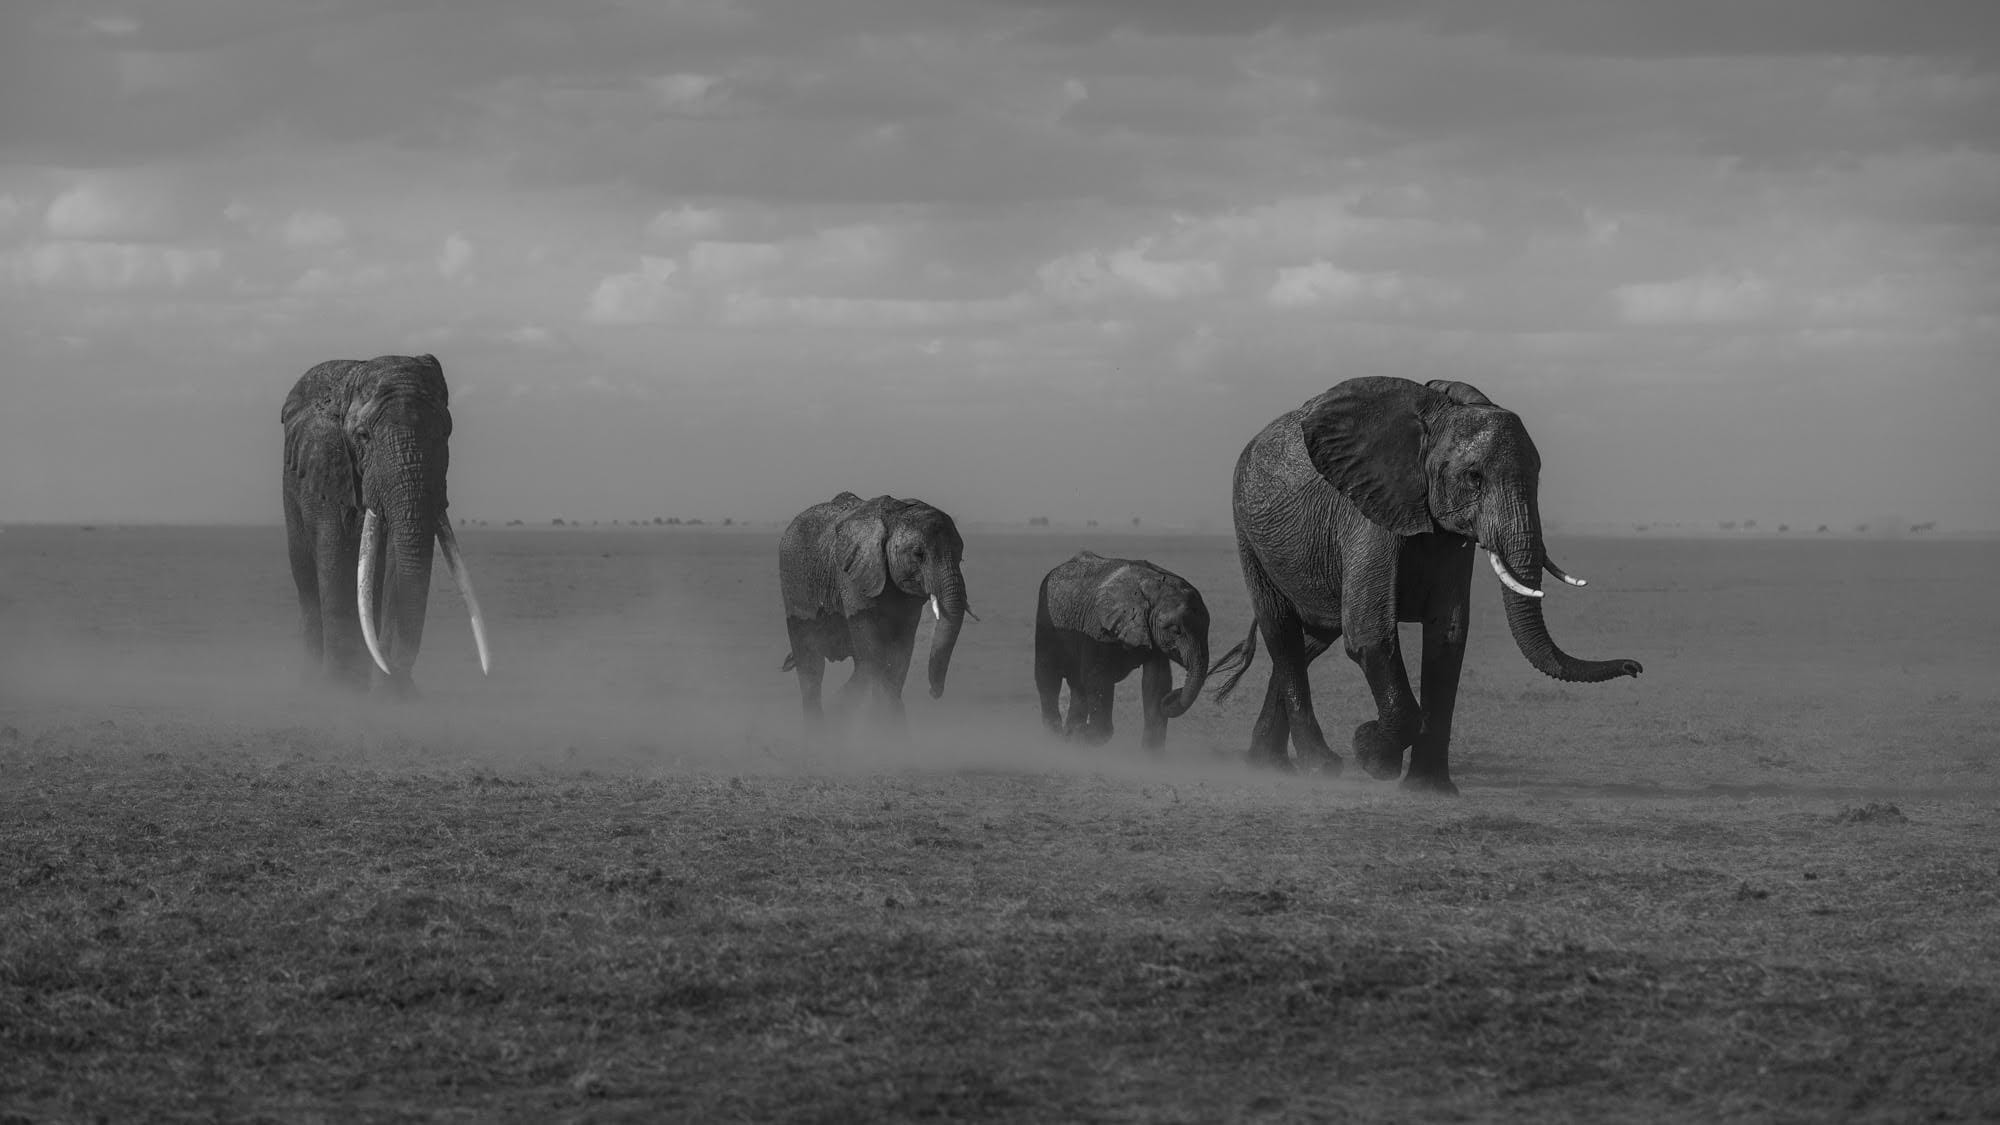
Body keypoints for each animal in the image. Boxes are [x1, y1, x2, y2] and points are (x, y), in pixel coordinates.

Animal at [280, 354, 490, 696]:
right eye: (363, 435)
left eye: (445, 432)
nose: (396, 668)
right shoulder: (327, 466)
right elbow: (335, 560)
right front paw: (341, 692)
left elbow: (397, 561)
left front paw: (393, 696)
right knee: (308, 584)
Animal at [779, 492, 970, 735]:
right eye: (918, 554)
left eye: (960, 554)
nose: (933, 693)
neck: (896, 514)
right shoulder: (852, 576)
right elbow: (873, 648)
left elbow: (900, 650)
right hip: (795, 585)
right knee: (811, 664)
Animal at [1034, 551, 1211, 751]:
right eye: (1176, 630)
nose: (1173, 696)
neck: (1151, 587)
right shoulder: (1099, 628)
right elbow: (1097, 678)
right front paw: (1083, 734)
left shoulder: (1151, 634)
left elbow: (1157, 681)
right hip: (1046, 622)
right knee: (1049, 678)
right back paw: (1057, 737)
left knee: (1078, 686)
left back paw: (1069, 735)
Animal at [1210, 376, 1642, 793]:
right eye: (1474, 478)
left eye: (1538, 476)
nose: (1635, 667)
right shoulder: (1369, 514)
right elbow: (1369, 635)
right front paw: (1371, 754)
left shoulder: (1447, 535)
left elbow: (1448, 637)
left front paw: (1429, 789)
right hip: (1247, 533)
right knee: (1282, 632)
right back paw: (1319, 766)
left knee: (1312, 640)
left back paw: (1269, 765)